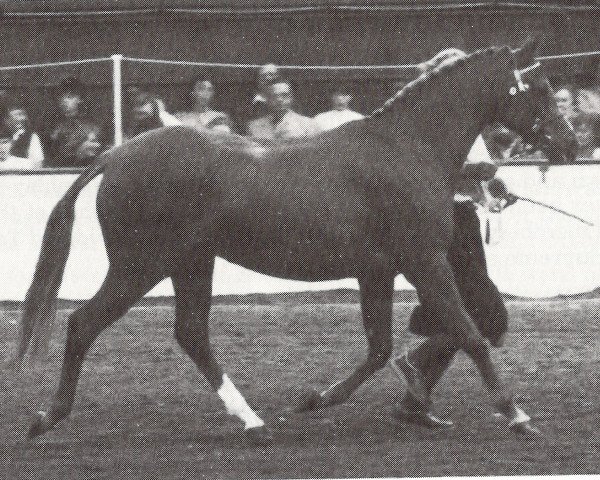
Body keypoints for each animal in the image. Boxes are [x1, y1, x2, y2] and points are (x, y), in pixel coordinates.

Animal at [15, 39, 576, 444]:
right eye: (540, 87)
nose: (570, 145)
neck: (406, 150)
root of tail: (115, 154)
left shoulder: (378, 270)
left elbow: (380, 348)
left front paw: (316, 400)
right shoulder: (425, 261)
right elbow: (470, 333)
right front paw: (518, 415)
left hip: (191, 262)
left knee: (191, 334)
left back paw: (253, 421)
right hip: (139, 265)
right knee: (84, 323)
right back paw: (45, 417)